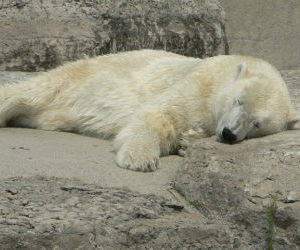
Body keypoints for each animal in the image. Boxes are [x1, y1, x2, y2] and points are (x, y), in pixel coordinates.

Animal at [0, 50, 298, 172]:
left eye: (257, 124)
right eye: (238, 101)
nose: (228, 133)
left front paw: (188, 140)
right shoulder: (195, 85)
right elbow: (158, 117)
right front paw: (141, 160)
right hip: (81, 76)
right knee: (34, 90)